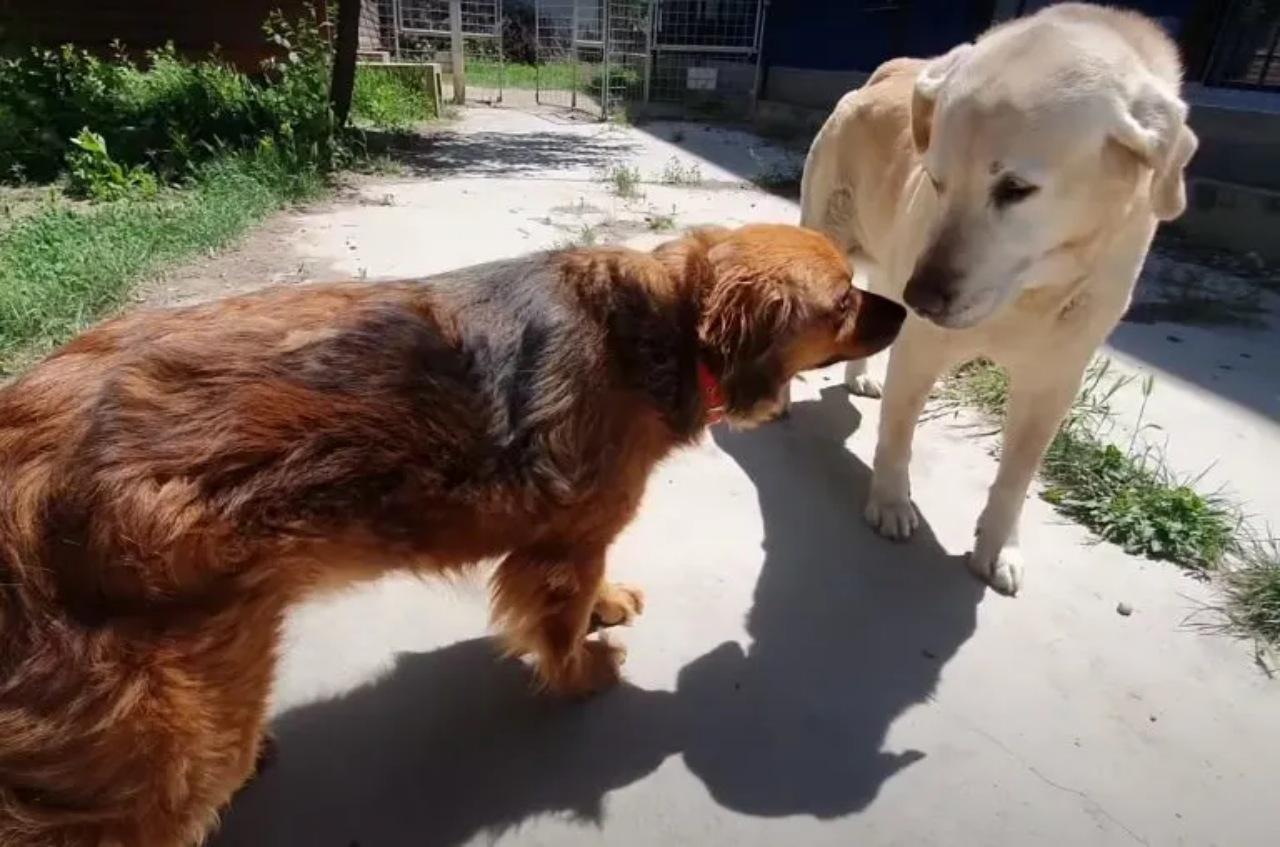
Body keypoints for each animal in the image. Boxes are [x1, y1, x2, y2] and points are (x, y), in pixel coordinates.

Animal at [0, 222, 906, 844]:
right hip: (177, 731)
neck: (664, 329)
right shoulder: (565, 542)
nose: (904, 307)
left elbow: (589, 590)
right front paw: (583, 672)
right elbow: (559, 624)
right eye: (844, 301)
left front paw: (607, 603)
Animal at [798, 1, 1198, 596]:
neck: (1029, 293)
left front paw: (998, 547)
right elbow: (897, 434)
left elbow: (1017, 475)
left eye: (1015, 189)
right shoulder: (921, 346)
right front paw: (890, 502)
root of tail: (888, 72)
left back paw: (859, 373)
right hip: (834, 230)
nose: (923, 296)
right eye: (937, 181)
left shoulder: (1054, 380)